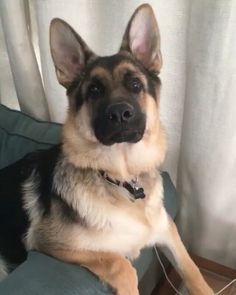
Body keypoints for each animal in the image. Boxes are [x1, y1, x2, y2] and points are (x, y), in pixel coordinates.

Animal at [0, 4, 213, 295]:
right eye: (94, 91)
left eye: (135, 85)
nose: (120, 114)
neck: (123, 178)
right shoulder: (48, 243)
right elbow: (120, 264)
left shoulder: (167, 229)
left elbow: (192, 269)